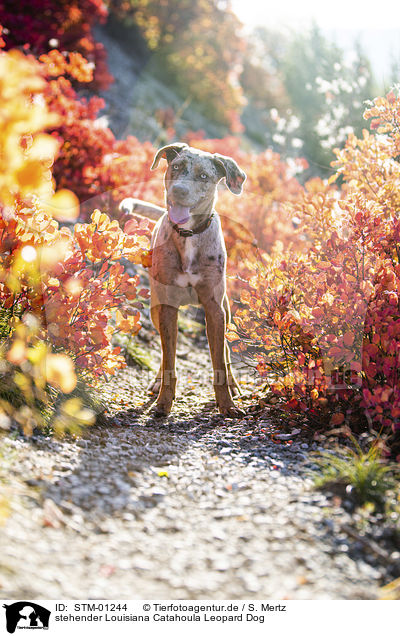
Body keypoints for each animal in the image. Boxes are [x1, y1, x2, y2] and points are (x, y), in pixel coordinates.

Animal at [120, 143, 245, 418]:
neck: (188, 235)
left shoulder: (214, 309)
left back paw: (233, 383)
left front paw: (227, 404)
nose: (179, 190)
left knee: (226, 350)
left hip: (226, 310)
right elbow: (169, 359)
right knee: (166, 351)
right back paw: (157, 383)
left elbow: (219, 362)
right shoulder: (167, 308)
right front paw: (164, 402)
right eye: (176, 167)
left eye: (203, 176)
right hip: (156, 309)